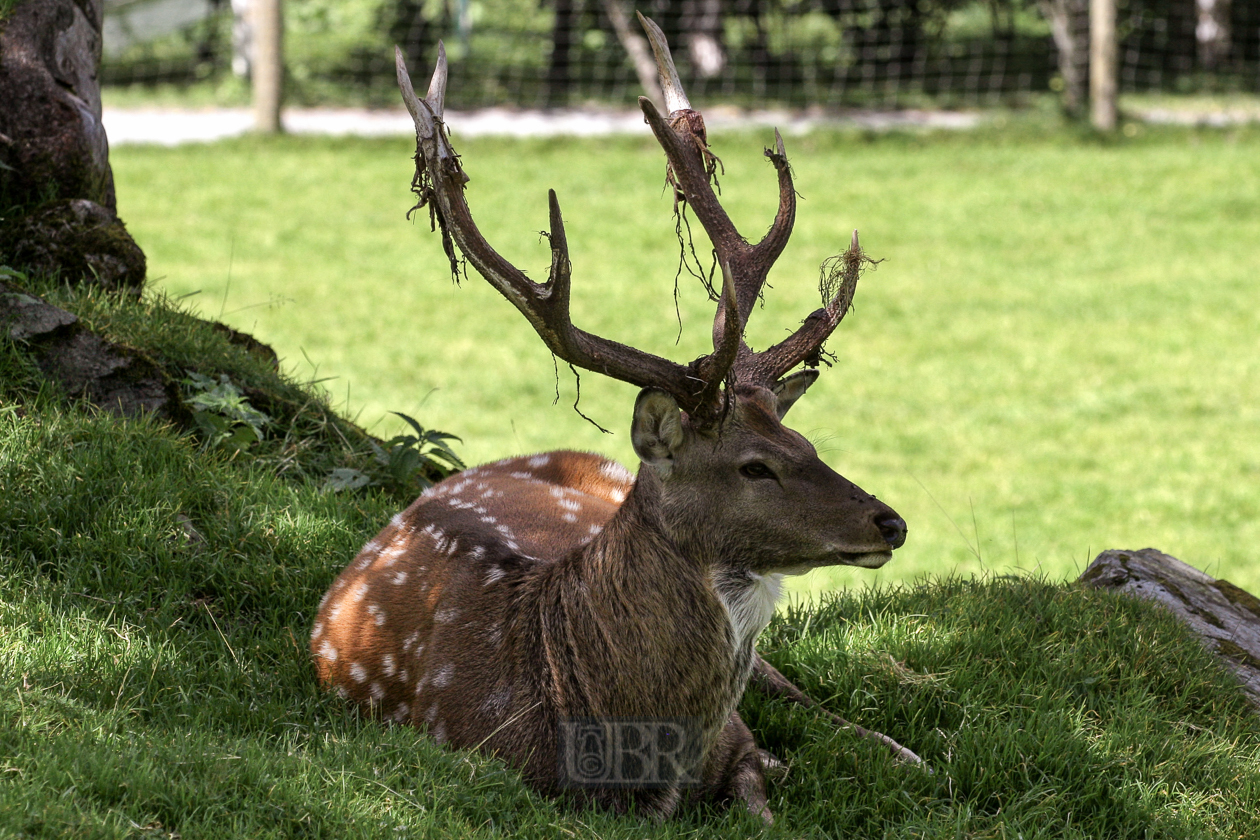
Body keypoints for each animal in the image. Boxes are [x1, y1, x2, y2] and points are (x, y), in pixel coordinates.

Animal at [309, 16, 922, 826]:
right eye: (755, 466)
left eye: (806, 440)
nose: (891, 522)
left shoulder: (739, 740)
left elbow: (763, 784)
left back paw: (904, 746)